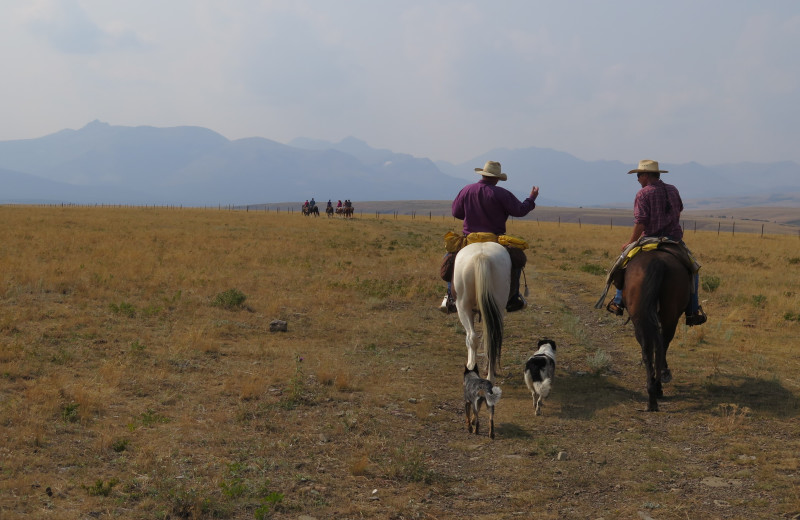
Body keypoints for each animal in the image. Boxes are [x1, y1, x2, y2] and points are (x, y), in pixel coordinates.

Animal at [454, 243, 510, 382]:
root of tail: (481, 257)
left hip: (463, 307)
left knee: (472, 337)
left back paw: (471, 367)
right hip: (498, 307)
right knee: (491, 339)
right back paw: (490, 375)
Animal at [620, 248, 692, 410]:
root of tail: (656, 262)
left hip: (641, 318)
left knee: (648, 350)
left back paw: (652, 396)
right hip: (669, 317)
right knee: (660, 346)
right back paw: (657, 389)